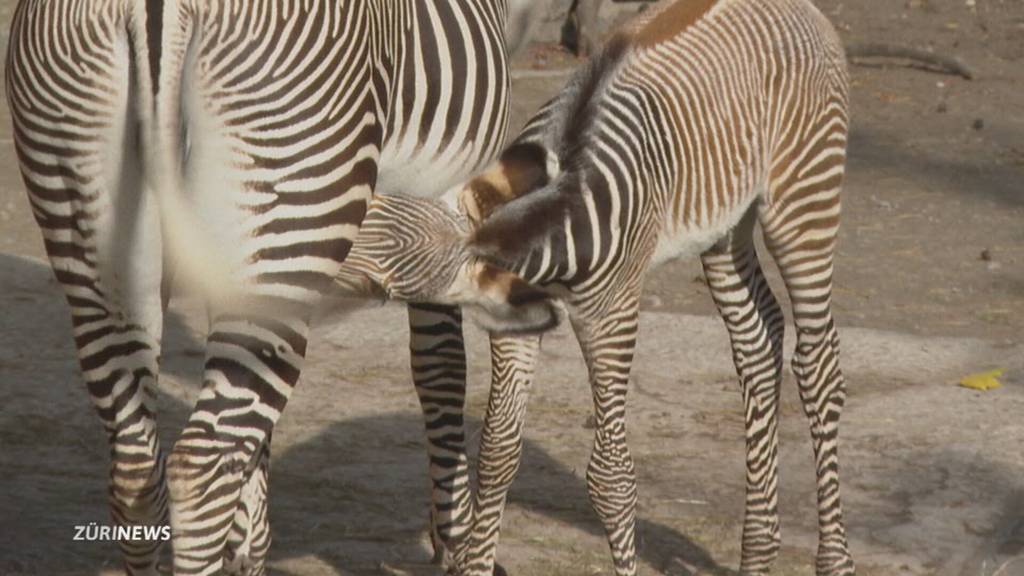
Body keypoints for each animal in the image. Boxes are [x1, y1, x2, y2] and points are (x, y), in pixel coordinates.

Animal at [5, 0, 550, 573]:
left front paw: (247, 546)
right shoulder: (438, 209)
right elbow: (441, 369)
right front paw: (454, 539)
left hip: (94, 229)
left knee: (136, 464)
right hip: (289, 210)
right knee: (200, 469)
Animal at [339, 0, 855, 574]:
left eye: (374, 284)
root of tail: (799, 8)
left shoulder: (611, 316)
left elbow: (611, 477)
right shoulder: (514, 324)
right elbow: (497, 451)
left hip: (803, 201)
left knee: (818, 362)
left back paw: (834, 559)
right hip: (725, 227)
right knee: (758, 340)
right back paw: (757, 552)